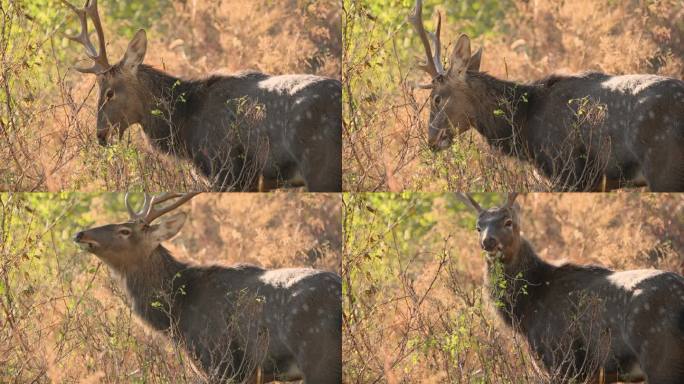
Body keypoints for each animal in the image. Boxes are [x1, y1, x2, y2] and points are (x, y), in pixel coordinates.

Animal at [456, 192, 684, 384]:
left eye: (508, 222)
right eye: (478, 227)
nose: (488, 241)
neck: (526, 313)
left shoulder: (560, 360)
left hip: (660, 357)